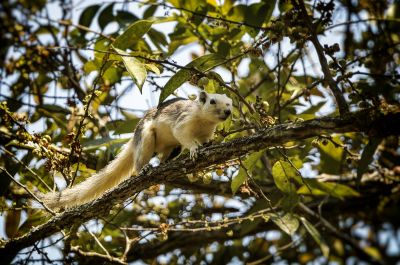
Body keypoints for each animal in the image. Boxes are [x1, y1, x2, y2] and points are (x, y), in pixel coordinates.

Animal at [41, 91, 231, 208]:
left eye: (229, 103)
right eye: (212, 101)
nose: (228, 112)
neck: (205, 121)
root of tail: (134, 139)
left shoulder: (207, 132)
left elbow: (205, 140)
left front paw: (208, 145)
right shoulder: (184, 120)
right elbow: (181, 134)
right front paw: (193, 150)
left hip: (174, 148)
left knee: (166, 155)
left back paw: (164, 164)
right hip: (146, 136)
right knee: (140, 160)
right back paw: (144, 168)